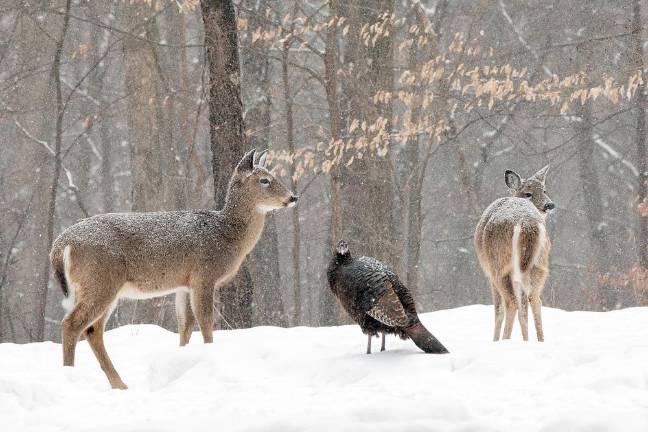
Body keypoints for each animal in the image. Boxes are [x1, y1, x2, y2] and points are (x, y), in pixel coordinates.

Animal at [49, 149, 298, 388]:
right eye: (265, 180)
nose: (293, 197)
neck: (227, 234)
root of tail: (60, 244)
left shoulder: (183, 285)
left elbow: (185, 325)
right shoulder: (204, 275)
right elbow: (205, 321)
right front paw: (208, 354)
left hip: (104, 287)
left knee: (93, 329)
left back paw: (120, 384)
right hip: (100, 281)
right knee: (72, 324)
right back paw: (70, 374)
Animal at [474, 165, 556, 340]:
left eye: (544, 190)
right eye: (528, 193)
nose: (549, 205)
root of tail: (527, 224)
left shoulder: (489, 272)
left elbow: (498, 311)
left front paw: (495, 339)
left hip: (500, 264)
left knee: (511, 302)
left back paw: (506, 340)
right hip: (539, 264)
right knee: (534, 300)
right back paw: (538, 340)